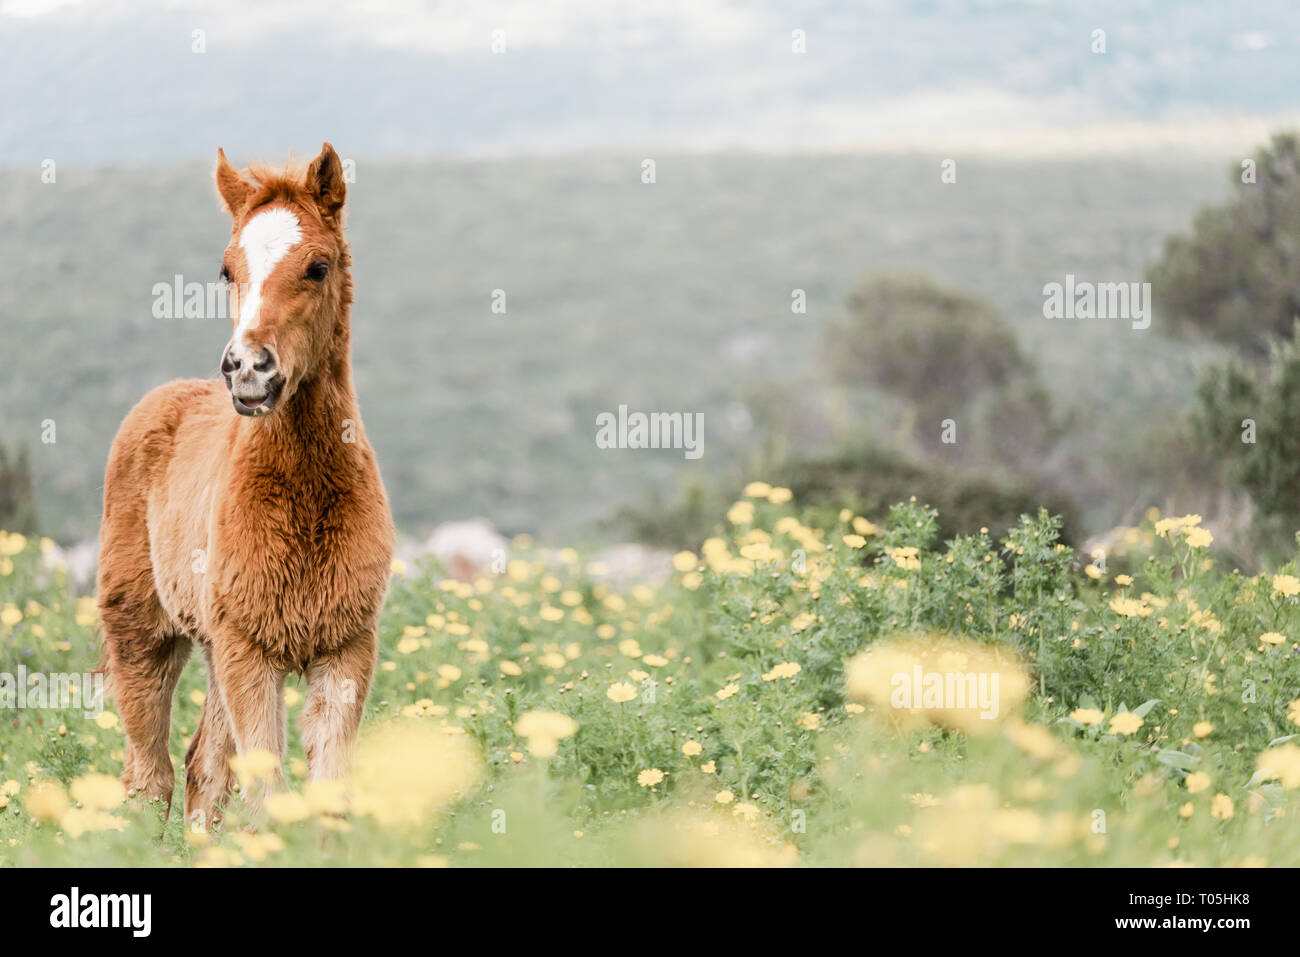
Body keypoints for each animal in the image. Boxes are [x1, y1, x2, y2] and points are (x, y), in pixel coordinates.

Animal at [96, 145, 392, 826]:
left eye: (317, 267)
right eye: (227, 270)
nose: (247, 369)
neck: (303, 502)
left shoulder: (345, 649)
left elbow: (326, 787)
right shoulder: (251, 654)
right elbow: (266, 792)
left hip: (212, 645)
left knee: (202, 767)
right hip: (143, 635)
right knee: (149, 773)